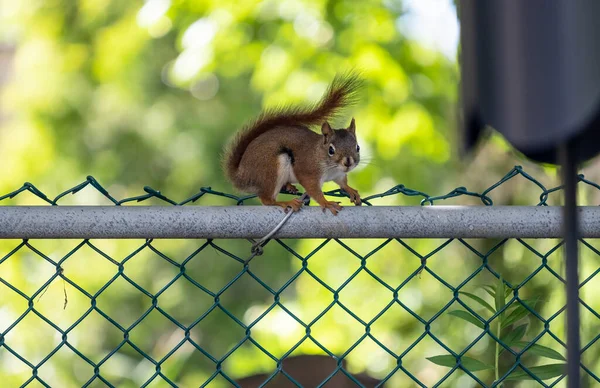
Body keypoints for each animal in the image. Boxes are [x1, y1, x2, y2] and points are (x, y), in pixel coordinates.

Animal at [224, 74, 360, 215]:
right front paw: (326, 203)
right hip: (270, 169)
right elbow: (314, 190)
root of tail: (241, 176)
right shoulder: (308, 171)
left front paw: (351, 190)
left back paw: (288, 186)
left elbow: (343, 182)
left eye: (357, 147)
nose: (348, 162)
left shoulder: (339, 174)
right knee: (267, 200)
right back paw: (284, 202)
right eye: (331, 150)